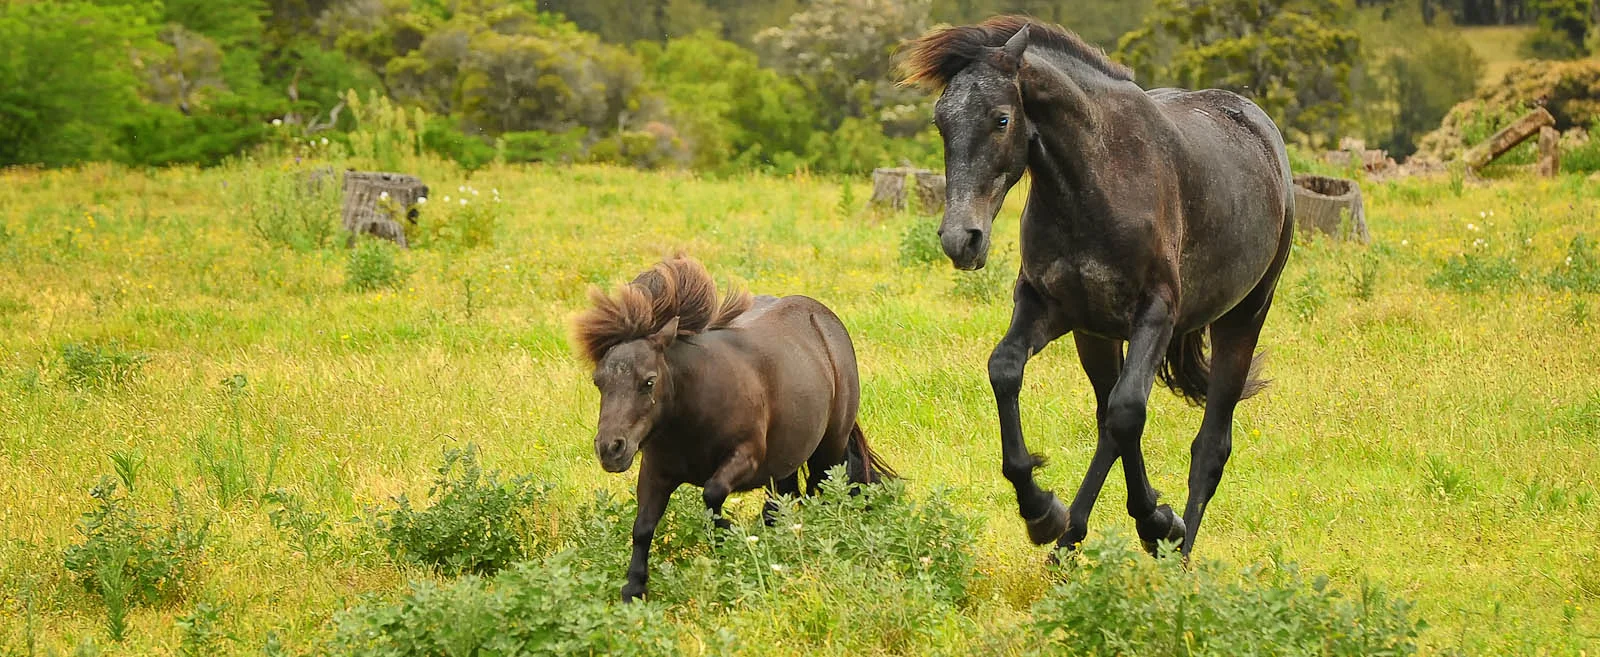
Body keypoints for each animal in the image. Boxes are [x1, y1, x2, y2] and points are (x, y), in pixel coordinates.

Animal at [573, 255, 894, 601]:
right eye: (599, 381)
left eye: (648, 381)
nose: (610, 449)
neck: (692, 414)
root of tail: (824, 322)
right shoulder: (655, 471)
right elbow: (643, 526)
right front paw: (634, 588)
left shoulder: (746, 457)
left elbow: (712, 494)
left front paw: (729, 534)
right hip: (786, 459)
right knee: (785, 497)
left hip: (828, 449)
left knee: (820, 492)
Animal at [901, 17, 1294, 558]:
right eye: (942, 123)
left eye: (1001, 119)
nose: (962, 239)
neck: (1095, 182)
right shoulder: (1049, 306)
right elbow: (1006, 371)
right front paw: (1042, 511)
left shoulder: (1157, 314)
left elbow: (1129, 413)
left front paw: (1157, 523)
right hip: (1097, 336)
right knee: (1108, 423)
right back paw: (1069, 539)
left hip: (1244, 315)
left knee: (1207, 444)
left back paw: (1178, 550)